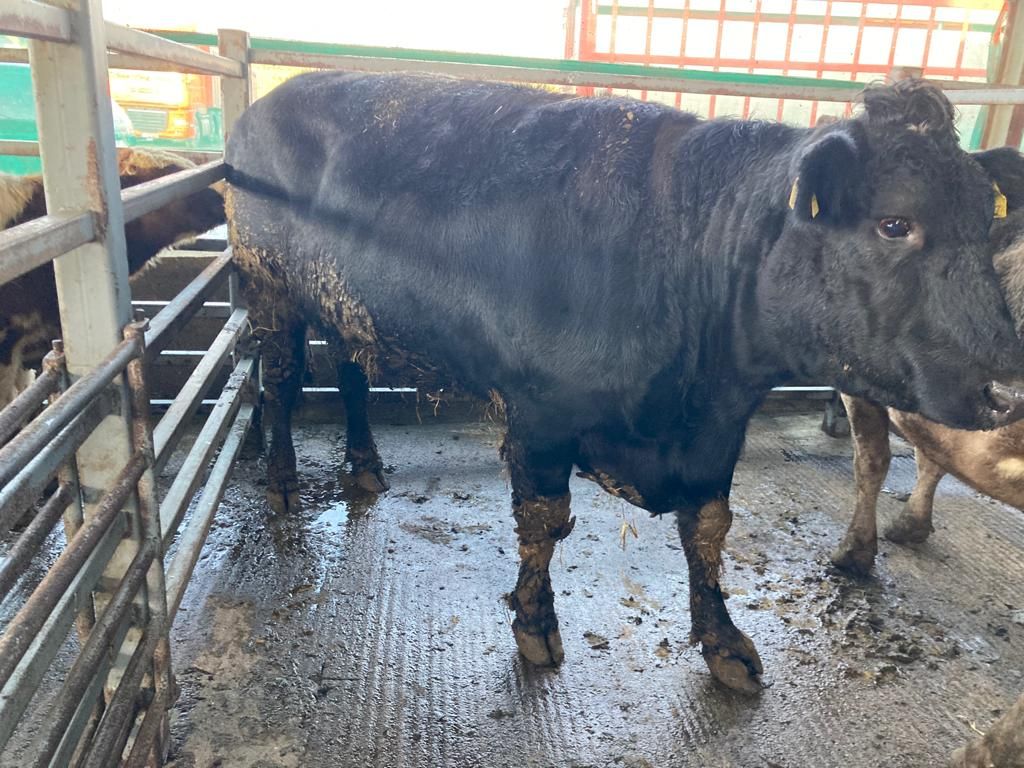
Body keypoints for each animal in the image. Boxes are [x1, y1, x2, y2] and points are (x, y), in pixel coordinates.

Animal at [225, 71, 1024, 693]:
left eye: (988, 225)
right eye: (895, 223)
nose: (1009, 391)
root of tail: (270, 100)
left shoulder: (715, 432)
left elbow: (708, 528)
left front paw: (724, 641)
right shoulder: (540, 413)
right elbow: (544, 522)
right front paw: (535, 623)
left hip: (343, 304)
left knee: (351, 377)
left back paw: (364, 466)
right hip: (269, 288)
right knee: (281, 384)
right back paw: (283, 482)